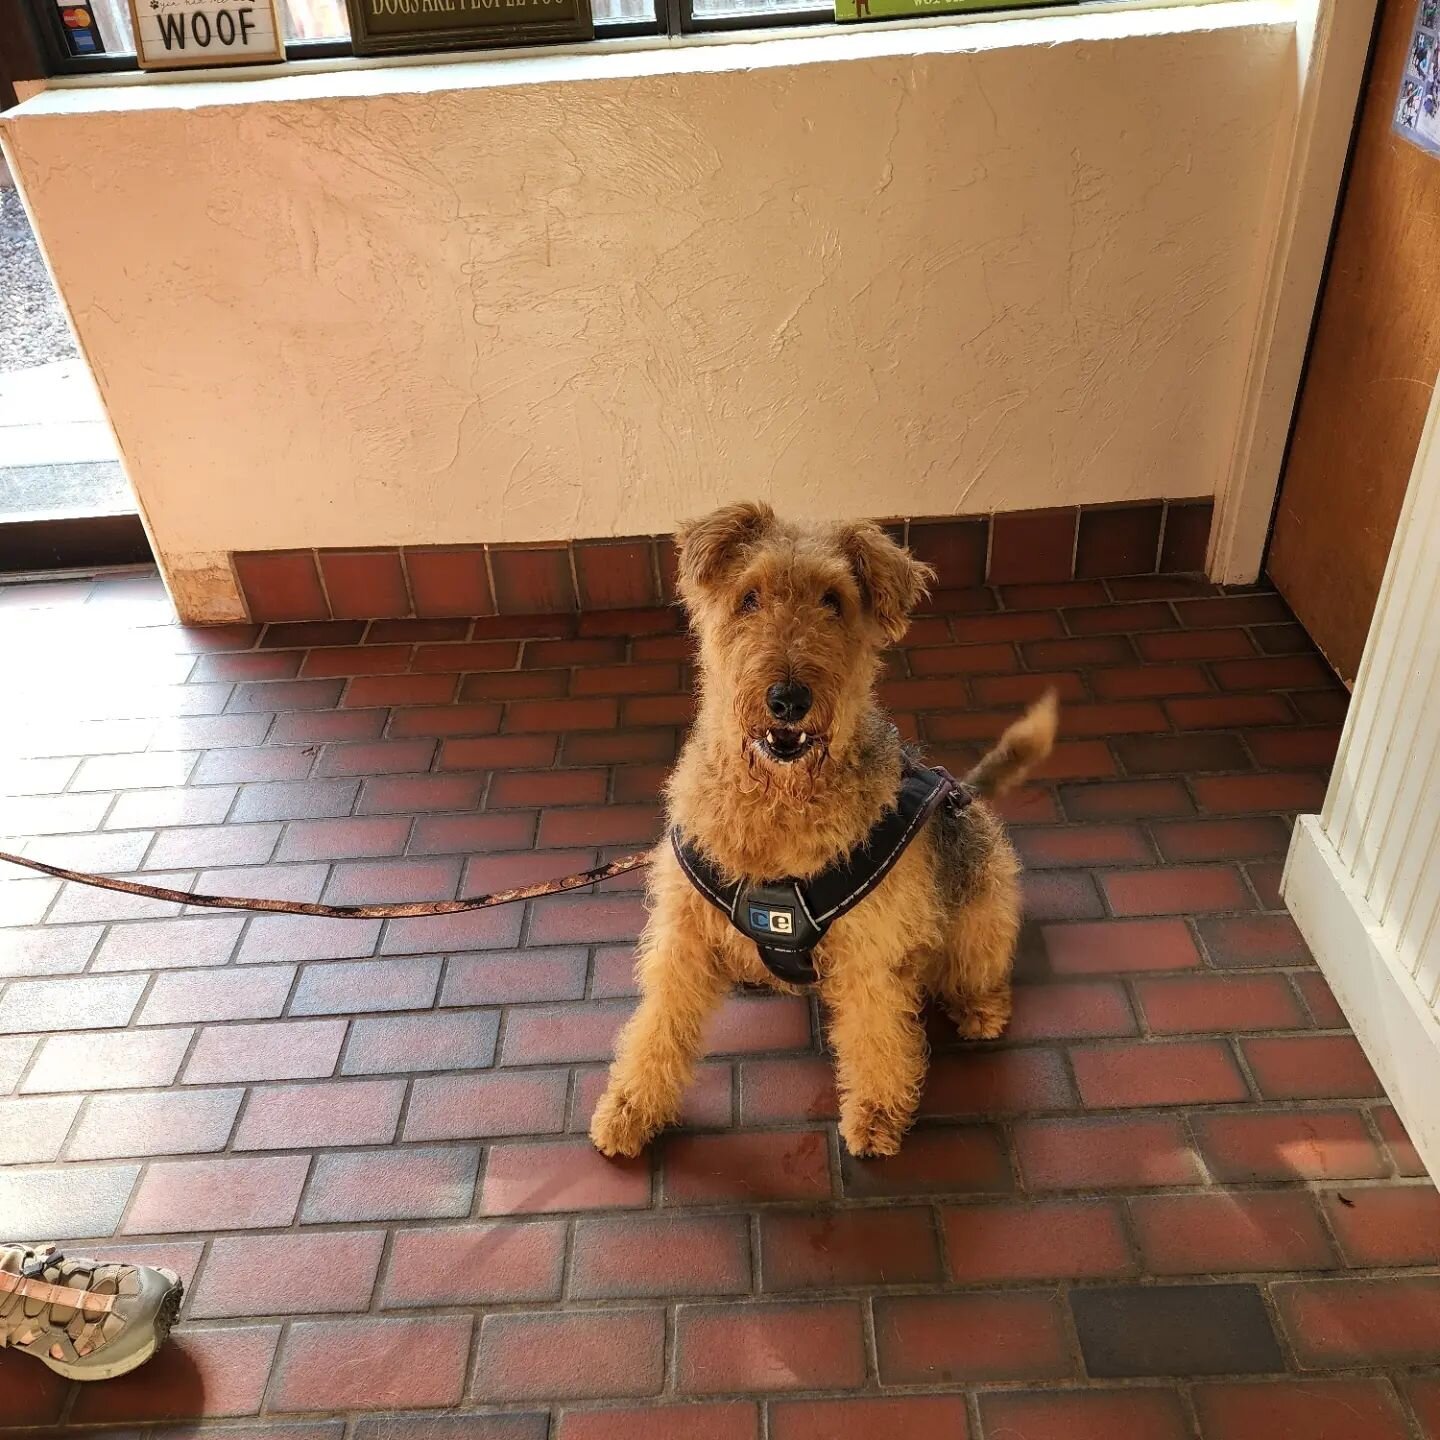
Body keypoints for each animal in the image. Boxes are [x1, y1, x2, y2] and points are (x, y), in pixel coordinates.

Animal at [587, 504, 1059, 1157]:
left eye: (834, 600)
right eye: (749, 596)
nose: (788, 699)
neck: (778, 805)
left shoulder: (872, 949)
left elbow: (877, 1036)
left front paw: (876, 1118)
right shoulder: (683, 935)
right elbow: (658, 1026)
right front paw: (628, 1111)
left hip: (978, 913)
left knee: (978, 970)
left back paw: (980, 1011)